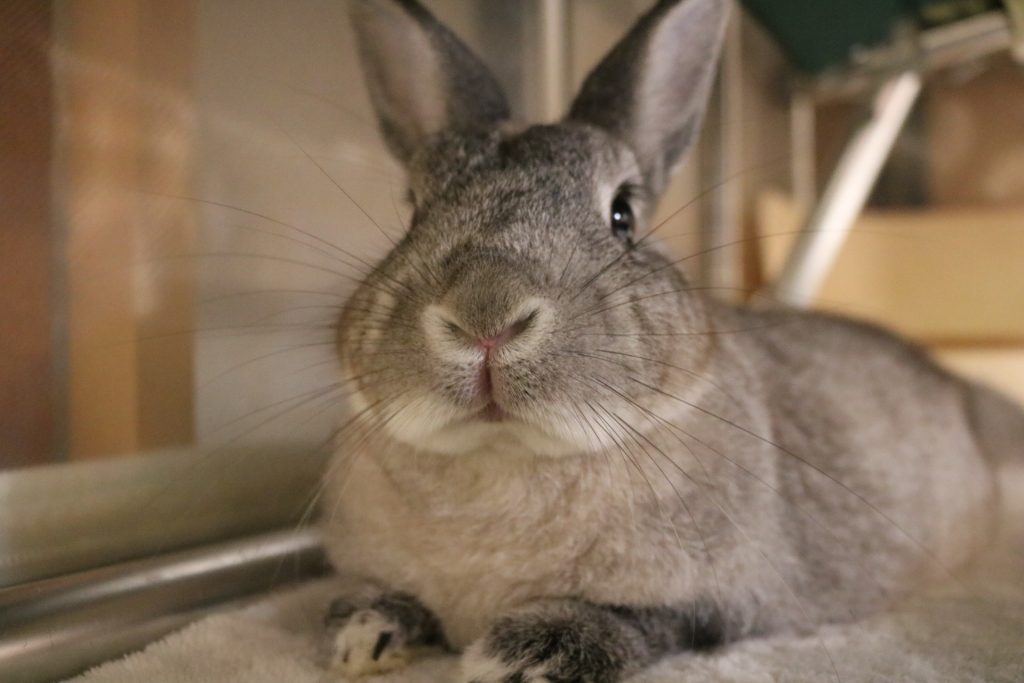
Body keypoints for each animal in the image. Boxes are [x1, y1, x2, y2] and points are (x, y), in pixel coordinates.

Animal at [317, 0, 1023, 681]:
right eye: (412, 210)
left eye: (623, 214)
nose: (485, 315)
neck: (504, 457)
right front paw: (362, 634)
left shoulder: (722, 604)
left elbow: (641, 623)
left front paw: (519, 655)